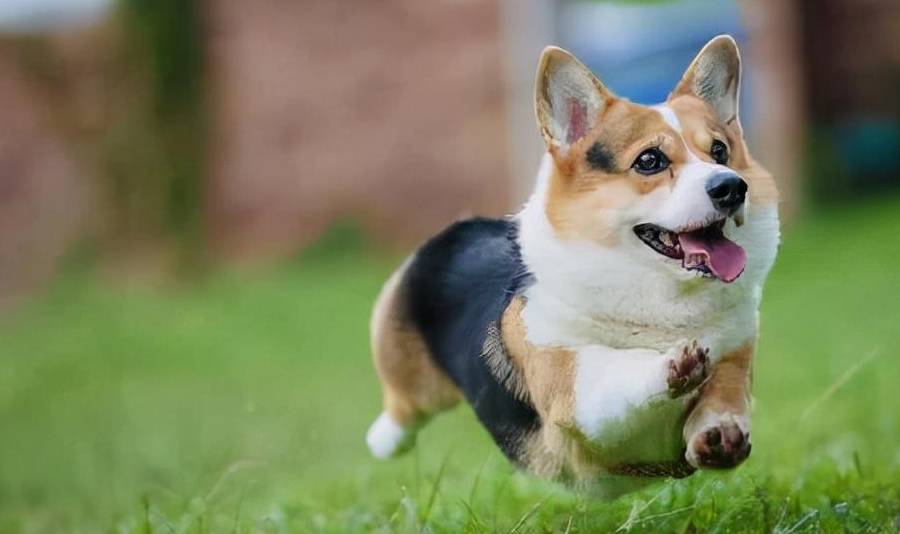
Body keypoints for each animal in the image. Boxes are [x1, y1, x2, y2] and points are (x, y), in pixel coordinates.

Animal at [366, 34, 780, 494]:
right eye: (650, 160)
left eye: (720, 152)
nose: (732, 187)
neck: (661, 298)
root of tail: (461, 227)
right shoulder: (569, 380)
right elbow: (612, 371)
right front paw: (672, 365)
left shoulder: (737, 353)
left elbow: (724, 395)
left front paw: (720, 435)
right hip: (412, 380)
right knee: (401, 410)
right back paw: (383, 439)